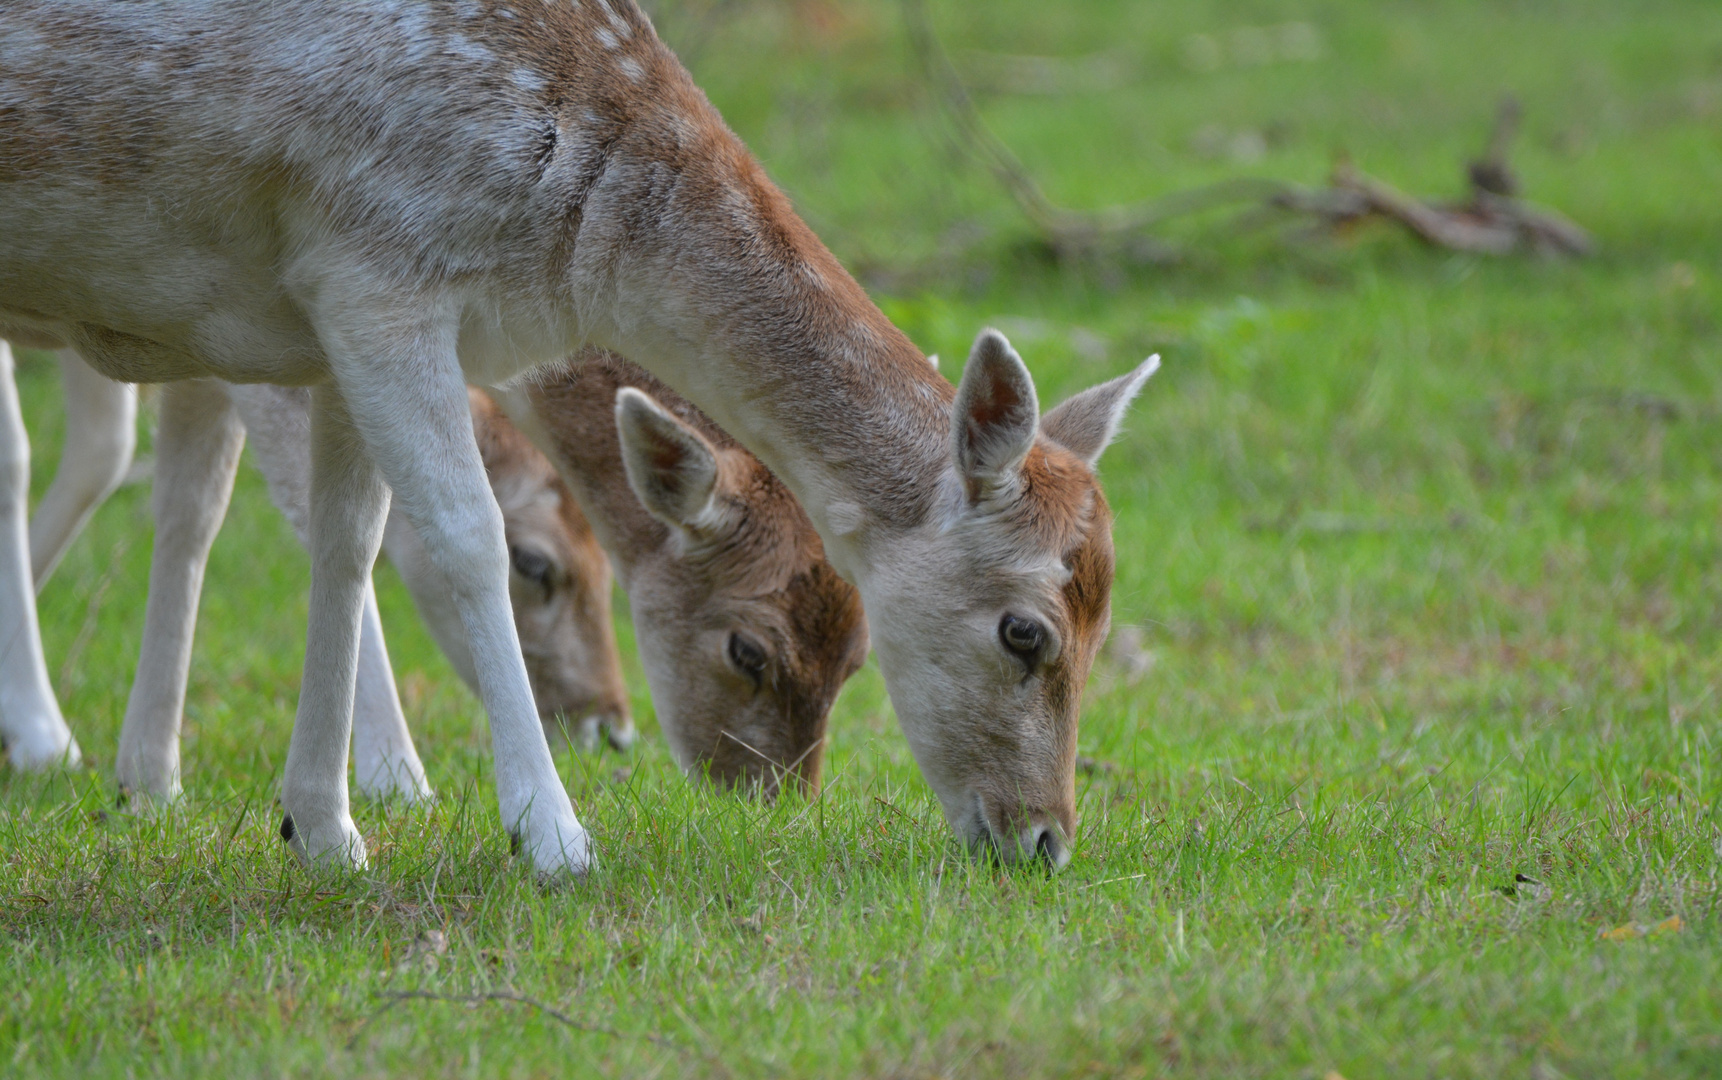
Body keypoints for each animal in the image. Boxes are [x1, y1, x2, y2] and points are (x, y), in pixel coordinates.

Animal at [3, 0, 1157, 875]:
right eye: (1026, 632)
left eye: (859, 651)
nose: (1045, 838)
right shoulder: (378, 277)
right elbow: (457, 535)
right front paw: (548, 835)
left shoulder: (320, 313)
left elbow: (342, 541)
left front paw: (324, 829)